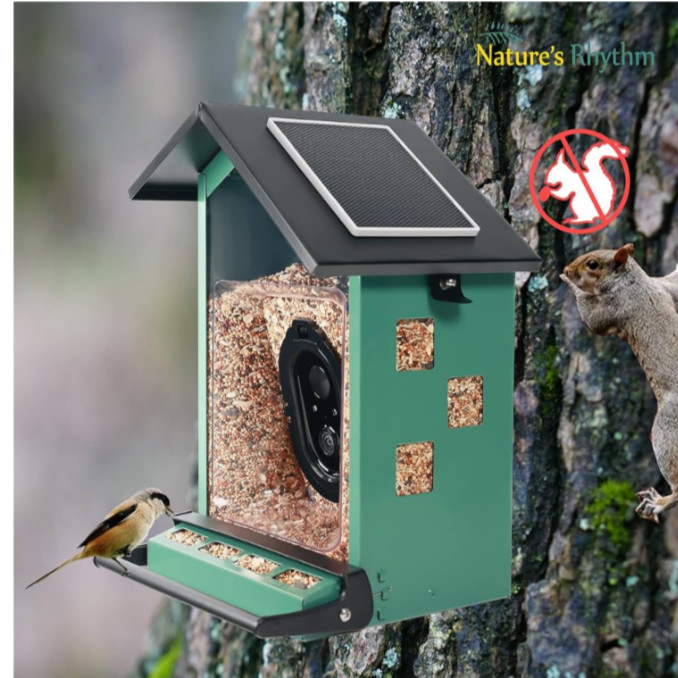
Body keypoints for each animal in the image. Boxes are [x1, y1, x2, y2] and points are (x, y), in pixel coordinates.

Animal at [561, 243, 678, 523]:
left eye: (592, 264)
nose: (567, 269)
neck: (635, 282)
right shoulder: (665, 287)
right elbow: (675, 281)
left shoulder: (615, 308)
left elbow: (592, 320)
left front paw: (569, 284)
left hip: (664, 433)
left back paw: (658, 502)